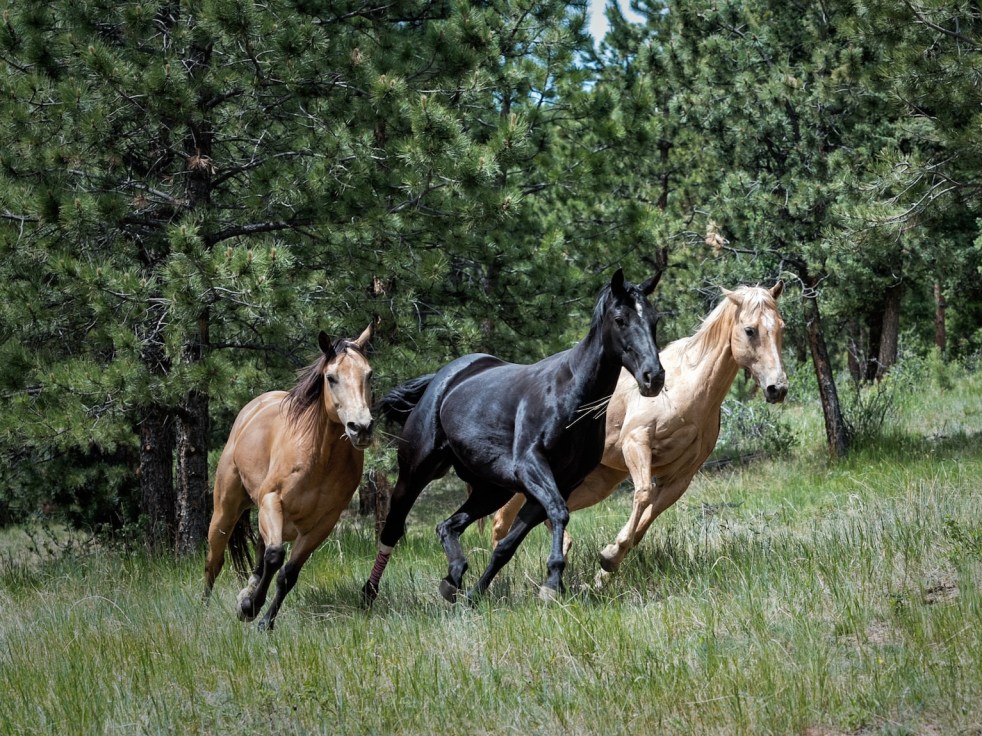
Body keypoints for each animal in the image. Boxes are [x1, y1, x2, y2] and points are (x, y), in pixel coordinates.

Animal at [203, 323, 376, 630]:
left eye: (369, 375)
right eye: (331, 378)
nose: (361, 428)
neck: (319, 458)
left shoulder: (323, 524)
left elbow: (288, 573)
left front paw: (263, 620)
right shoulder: (272, 501)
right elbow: (275, 557)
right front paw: (250, 607)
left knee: (260, 555)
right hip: (225, 512)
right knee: (214, 561)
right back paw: (204, 612)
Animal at [361, 269, 666, 604]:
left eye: (654, 319)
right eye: (620, 319)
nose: (653, 377)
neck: (571, 396)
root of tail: (442, 379)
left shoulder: (557, 483)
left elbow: (507, 545)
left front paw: (476, 595)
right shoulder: (532, 467)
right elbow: (558, 512)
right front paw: (552, 582)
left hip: (492, 490)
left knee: (447, 526)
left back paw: (453, 578)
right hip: (415, 472)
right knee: (392, 529)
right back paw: (369, 593)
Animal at [490, 282, 788, 579]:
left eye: (780, 327)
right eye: (750, 330)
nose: (778, 388)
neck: (687, 388)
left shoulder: (680, 476)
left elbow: (646, 521)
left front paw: (606, 567)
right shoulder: (636, 443)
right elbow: (643, 494)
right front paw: (609, 557)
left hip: (597, 482)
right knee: (502, 519)